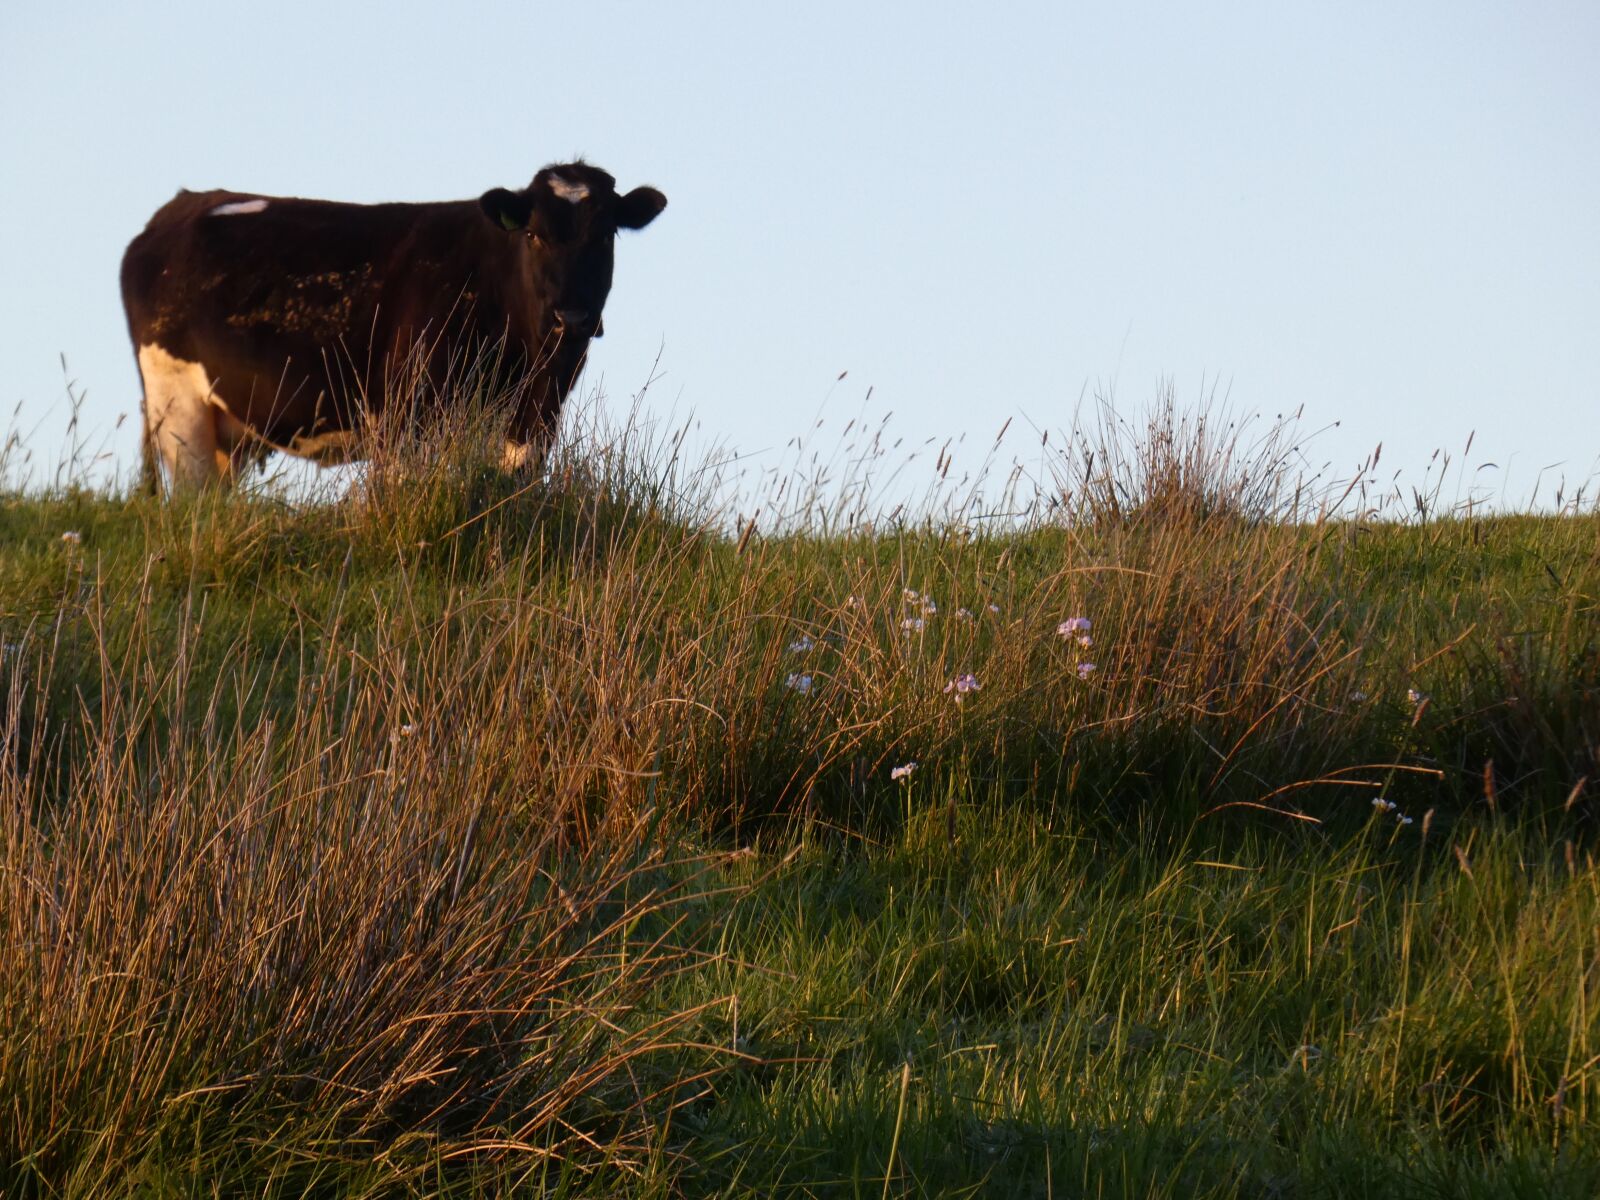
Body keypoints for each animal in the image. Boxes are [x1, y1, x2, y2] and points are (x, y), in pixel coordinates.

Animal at [119, 162, 666, 491]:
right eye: (532, 234)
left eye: (606, 235)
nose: (571, 318)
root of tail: (179, 206)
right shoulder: (408, 414)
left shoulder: (536, 419)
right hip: (177, 405)